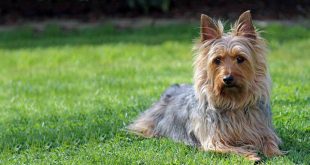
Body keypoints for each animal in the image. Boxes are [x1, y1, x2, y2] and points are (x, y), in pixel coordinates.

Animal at [127, 10, 282, 161]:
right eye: (217, 60)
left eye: (240, 58)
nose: (227, 78)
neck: (232, 102)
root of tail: (175, 88)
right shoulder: (214, 140)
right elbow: (233, 149)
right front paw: (251, 155)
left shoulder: (263, 130)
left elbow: (270, 141)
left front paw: (275, 153)